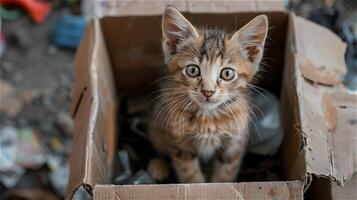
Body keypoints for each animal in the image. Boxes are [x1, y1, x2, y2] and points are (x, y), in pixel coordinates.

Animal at [147, 6, 268, 183]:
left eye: (227, 74)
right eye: (192, 70)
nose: (208, 91)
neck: (208, 118)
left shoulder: (234, 143)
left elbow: (225, 174)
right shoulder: (180, 144)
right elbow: (190, 174)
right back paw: (158, 165)